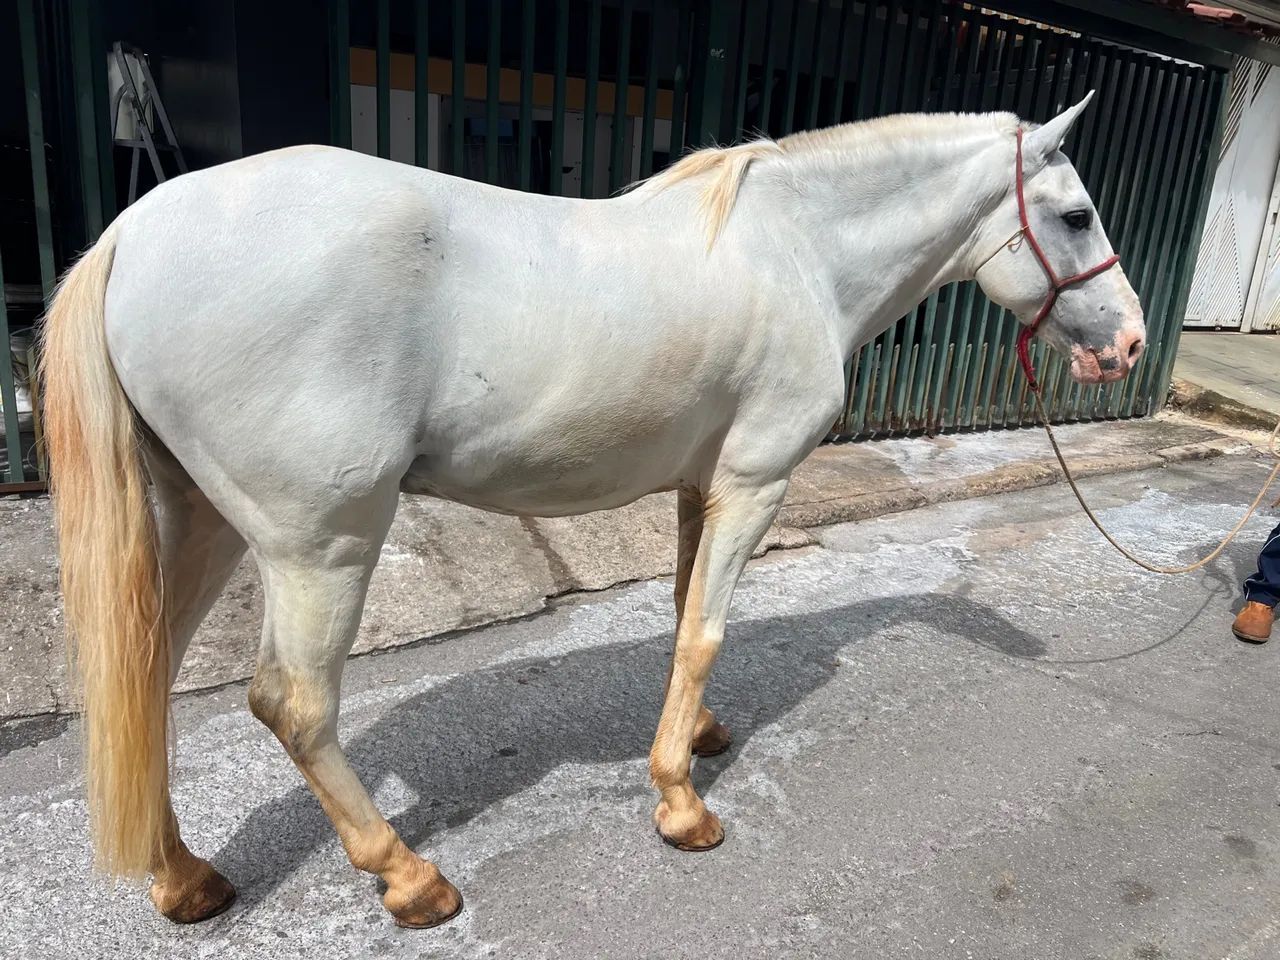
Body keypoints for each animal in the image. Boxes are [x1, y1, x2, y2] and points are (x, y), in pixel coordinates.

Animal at [40, 93, 1144, 928]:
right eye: (1077, 215)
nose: (1128, 345)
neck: (797, 251)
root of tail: (132, 234)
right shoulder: (755, 483)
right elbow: (705, 629)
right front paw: (681, 806)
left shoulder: (703, 488)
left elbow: (683, 615)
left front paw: (699, 739)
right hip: (321, 544)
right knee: (294, 705)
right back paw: (408, 878)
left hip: (201, 525)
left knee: (145, 676)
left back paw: (184, 879)